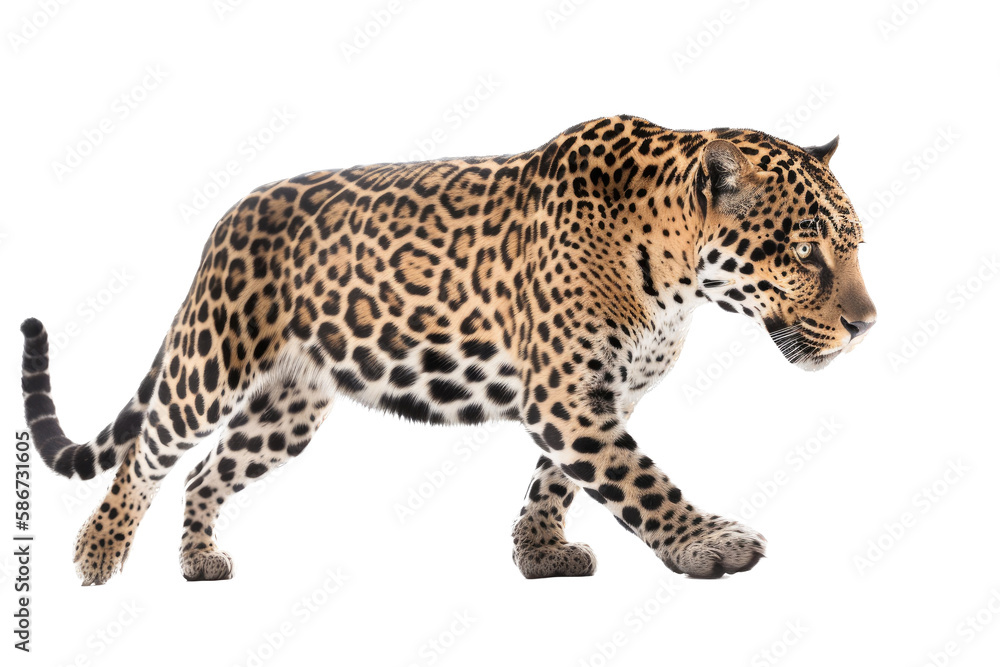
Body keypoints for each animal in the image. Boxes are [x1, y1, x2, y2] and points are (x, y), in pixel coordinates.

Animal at [20, 114, 876, 585]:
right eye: (805, 252)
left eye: (855, 246)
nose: (868, 323)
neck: (674, 276)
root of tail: (227, 218)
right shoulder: (568, 395)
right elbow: (639, 478)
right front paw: (709, 542)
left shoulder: (599, 395)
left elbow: (556, 480)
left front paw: (540, 553)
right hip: (212, 358)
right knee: (151, 449)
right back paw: (97, 553)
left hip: (287, 407)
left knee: (207, 470)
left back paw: (198, 560)